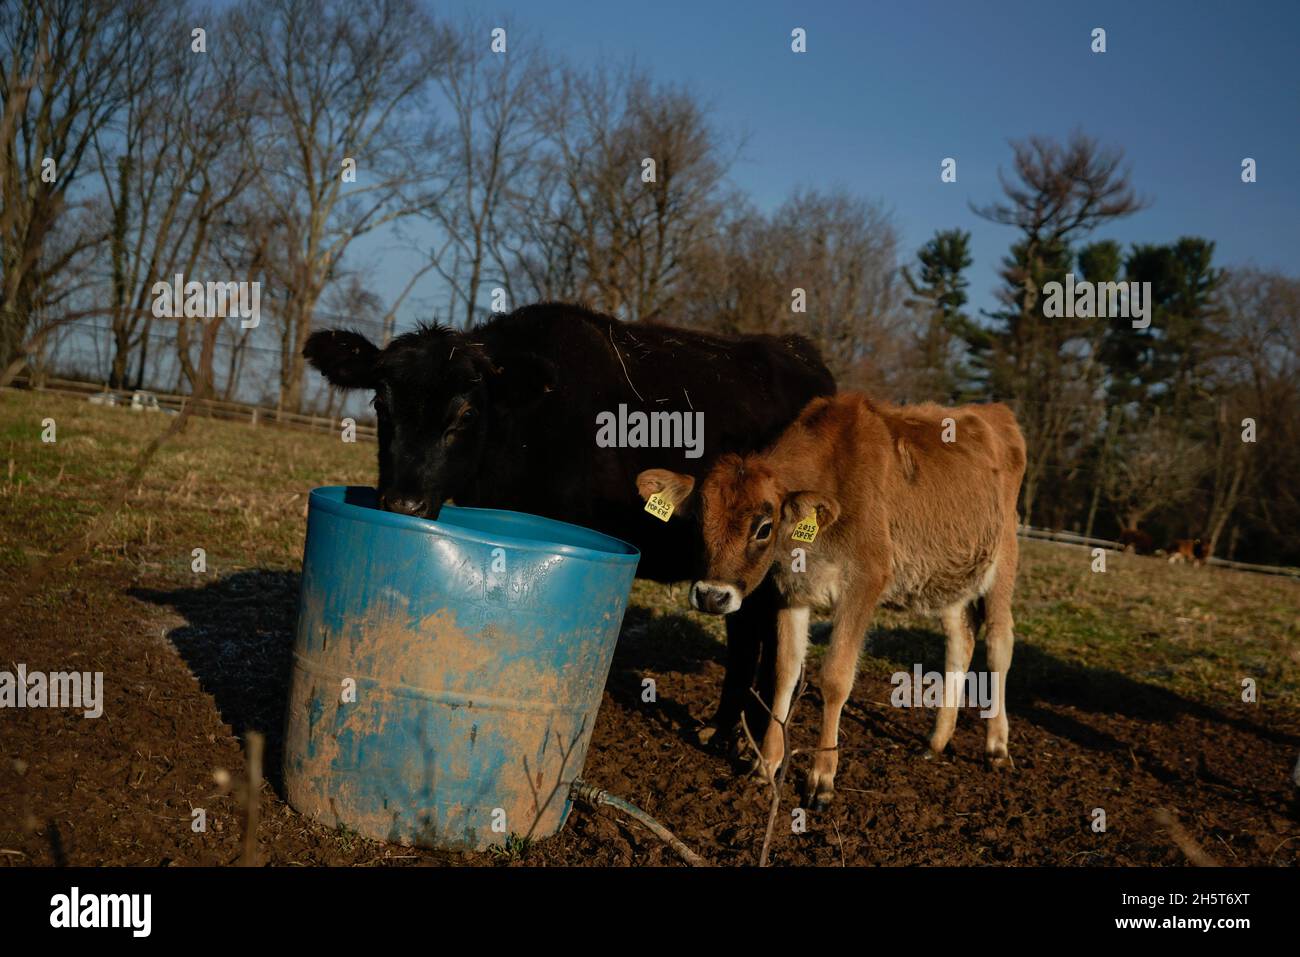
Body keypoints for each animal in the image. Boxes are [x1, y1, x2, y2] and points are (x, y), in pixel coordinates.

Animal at [302, 302, 832, 743]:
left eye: (467, 413)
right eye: (380, 405)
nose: (402, 504)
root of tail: (799, 351)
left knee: (762, 638)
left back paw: (742, 737)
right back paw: (727, 729)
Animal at [637, 390, 1024, 806]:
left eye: (764, 527)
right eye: (697, 521)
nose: (712, 596)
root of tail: (994, 411)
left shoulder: (864, 583)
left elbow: (836, 677)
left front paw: (821, 777)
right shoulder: (791, 590)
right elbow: (785, 671)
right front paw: (766, 765)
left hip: (1003, 560)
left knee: (999, 644)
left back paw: (997, 748)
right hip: (949, 576)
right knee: (960, 641)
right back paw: (936, 741)